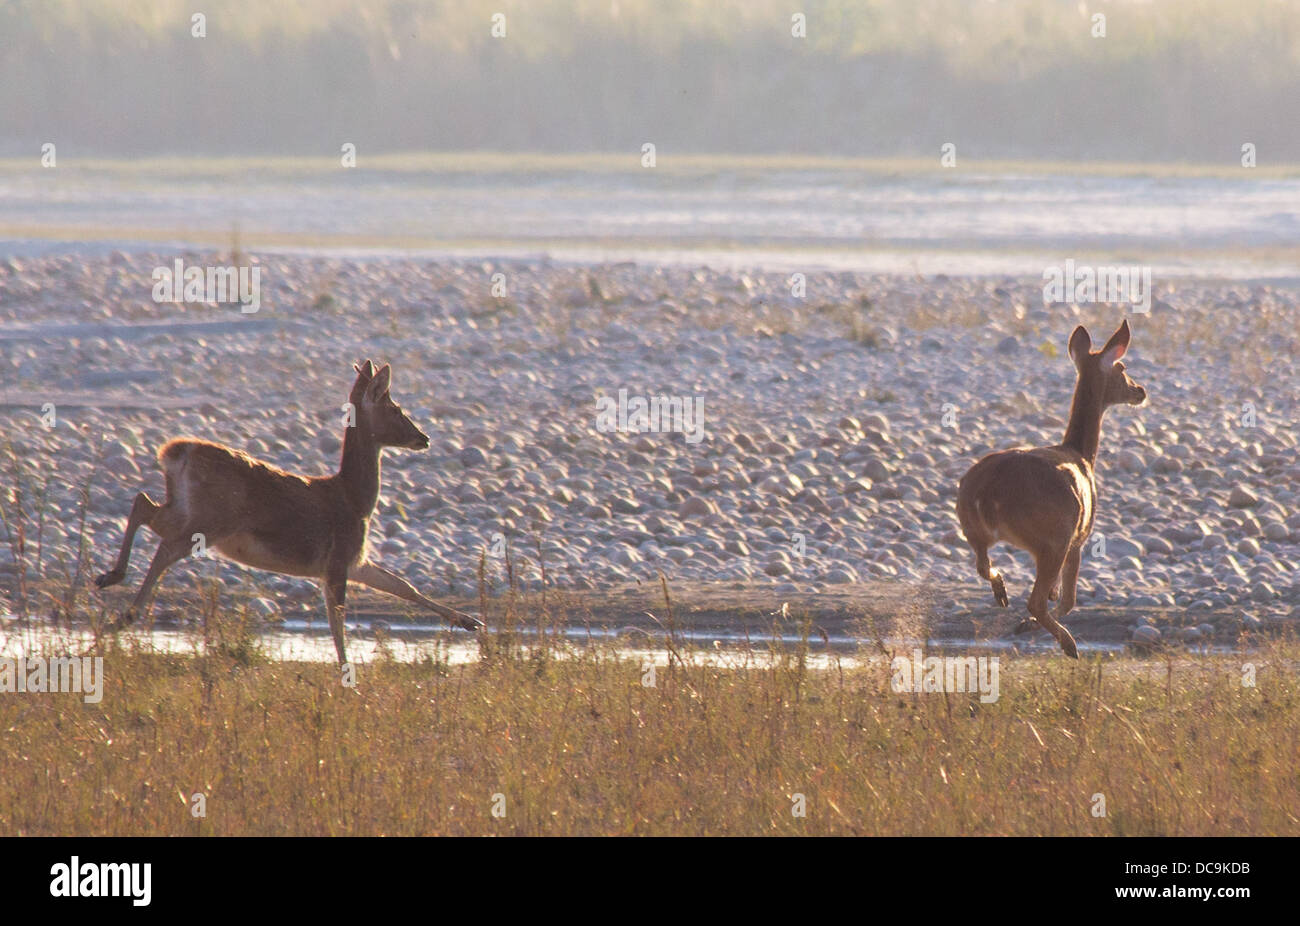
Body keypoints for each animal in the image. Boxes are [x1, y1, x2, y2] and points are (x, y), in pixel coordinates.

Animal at [94, 356, 483, 665]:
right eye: (396, 409)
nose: (424, 438)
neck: (354, 499)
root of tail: (176, 452)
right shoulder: (338, 559)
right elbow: (338, 622)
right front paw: (347, 674)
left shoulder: (354, 560)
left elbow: (402, 585)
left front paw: (470, 621)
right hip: (212, 519)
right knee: (164, 546)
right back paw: (123, 615)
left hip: (185, 508)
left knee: (143, 504)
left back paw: (110, 580)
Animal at [956, 318, 1149, 658]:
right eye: (1122, 366)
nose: (1140, 391)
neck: (1081, 454)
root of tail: (986, 493)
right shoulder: (1078, 537)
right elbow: (1068, 599)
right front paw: (1032, 623)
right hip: (1052, 537)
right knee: (1035, 598)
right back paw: (1067, 644)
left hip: (973, 530)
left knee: (983, 566)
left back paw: (1003, 595)